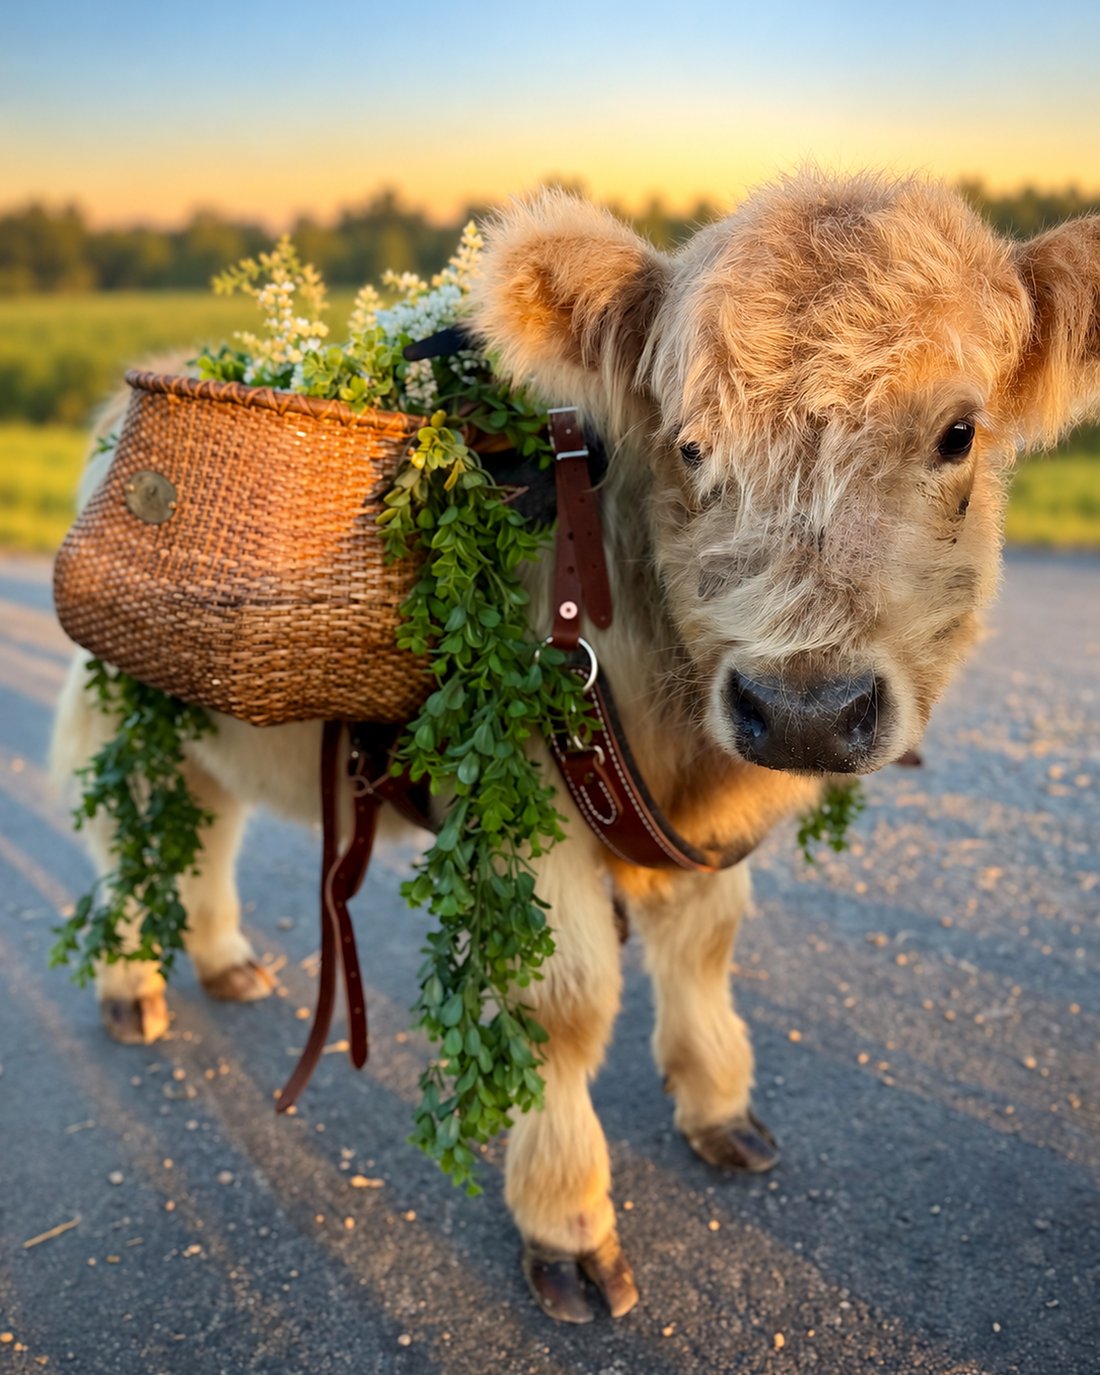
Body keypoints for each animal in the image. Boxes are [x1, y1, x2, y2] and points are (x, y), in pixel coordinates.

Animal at [51, 169, 1100, 1322]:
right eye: (689, 443)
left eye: (957, 433)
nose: (802, 708)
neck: (683, 747)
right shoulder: (531, 813)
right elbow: (563, 1005)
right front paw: (566, 1220)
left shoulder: (694, 827)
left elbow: (705, 945)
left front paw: (716, 1106)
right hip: (123, 707)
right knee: (127, 835)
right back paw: (131, 985)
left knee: (210, 828)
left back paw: (225, 959)